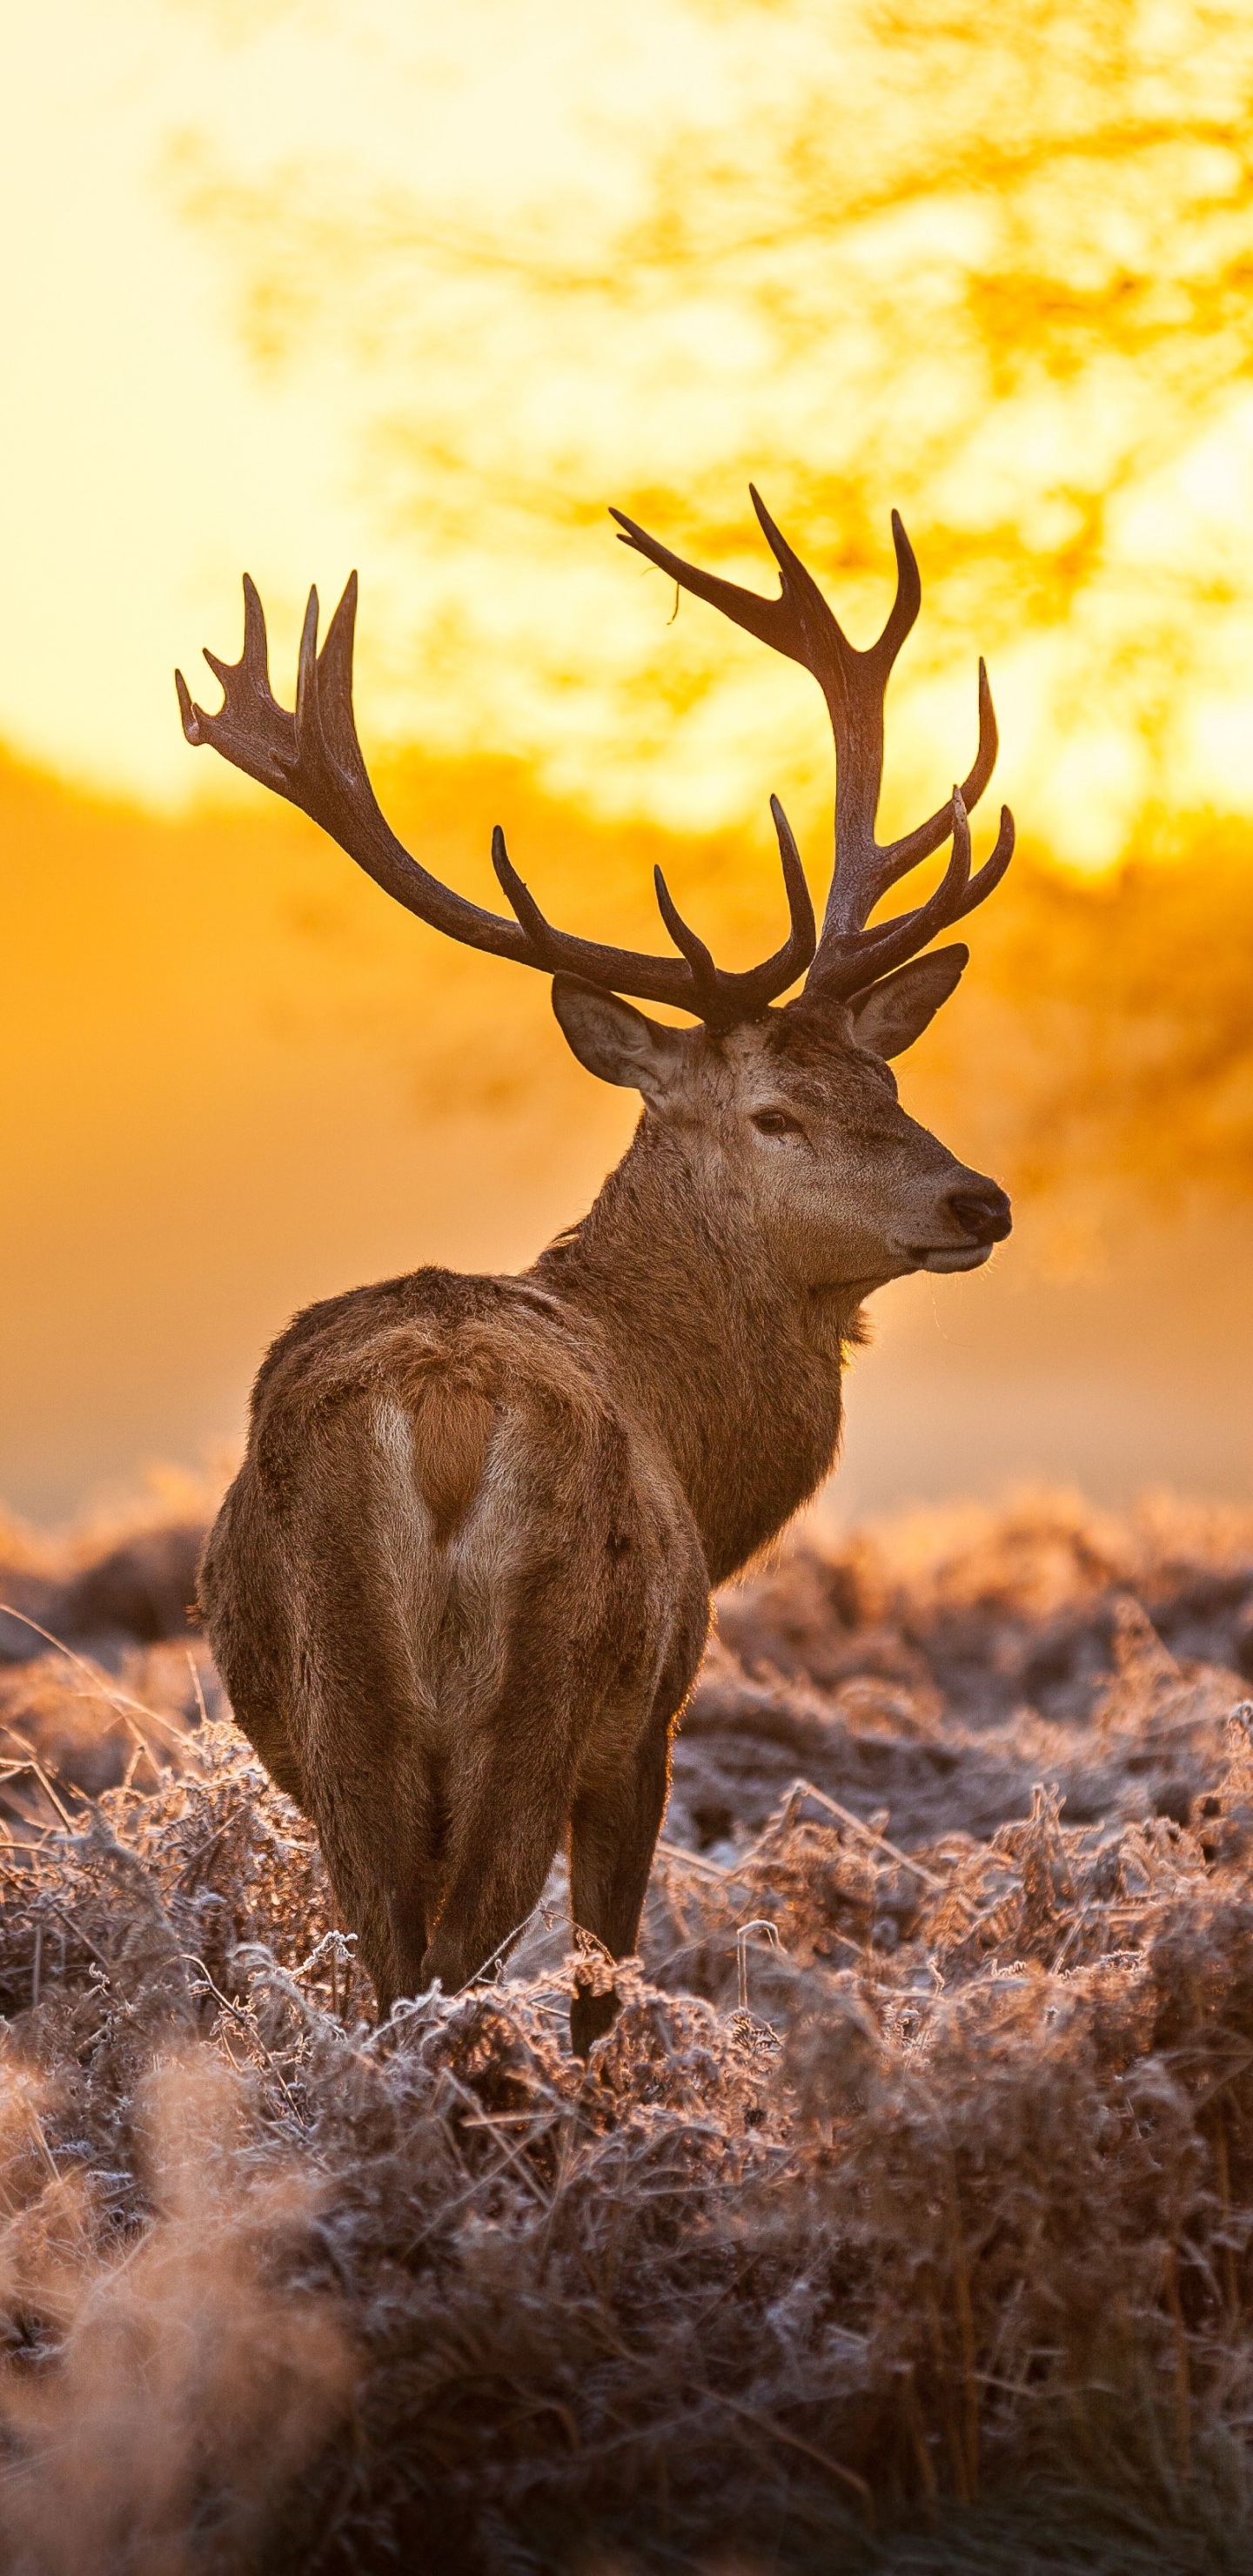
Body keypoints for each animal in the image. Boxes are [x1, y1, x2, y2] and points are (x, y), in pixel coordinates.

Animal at [178, 488, 1013, 2055]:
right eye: (776, 1113)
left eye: (887, 1078)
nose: (978, 1198)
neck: (701, 1444)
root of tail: (439, 1417)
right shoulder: (652, 1723)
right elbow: (603, 1985)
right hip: (545, 1687)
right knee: (458, 1968)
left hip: (337, 1712)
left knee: (392, 1964)